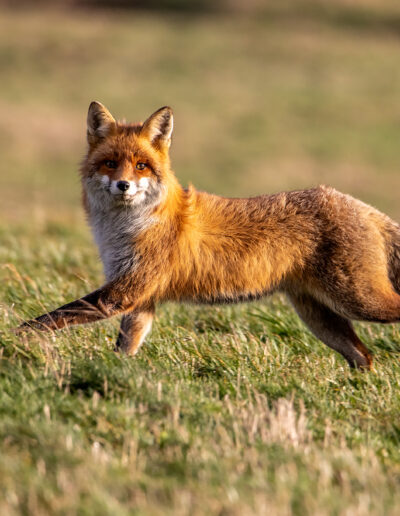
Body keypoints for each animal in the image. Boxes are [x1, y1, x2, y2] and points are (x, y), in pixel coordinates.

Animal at [18, 102, 400, 366]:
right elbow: (124, 347)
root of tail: (361, 205)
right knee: (363, 356)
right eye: (110, 164)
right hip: (319, 316)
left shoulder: (125, 290)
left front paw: (15, 338)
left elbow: (52, 317)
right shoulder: (141, 299)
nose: (123, 185)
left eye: (141, 166)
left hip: (359, 300)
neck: (128, 228)